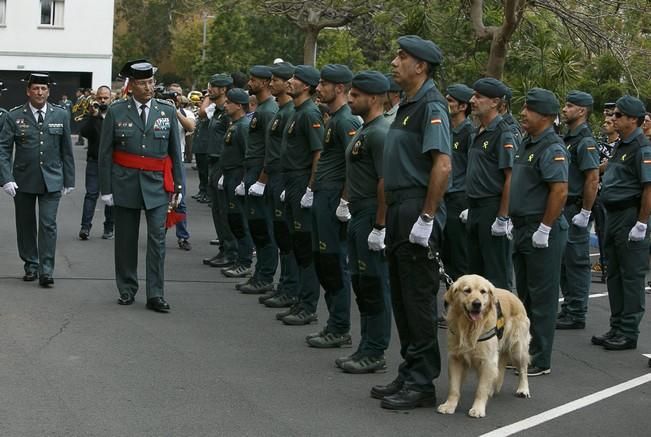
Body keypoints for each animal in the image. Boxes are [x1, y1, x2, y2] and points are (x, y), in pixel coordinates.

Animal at [436, 274, 532, 418]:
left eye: (483, 291)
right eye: (467, 290)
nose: (477, 304)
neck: (469, 327)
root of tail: (515, 296)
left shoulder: (487, 360)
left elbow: (481, 389)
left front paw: (478, 409)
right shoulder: (455, 358)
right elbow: (454, 388)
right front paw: (449, 405)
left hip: (517, 348)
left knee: (523, 369)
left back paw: (523, 389)